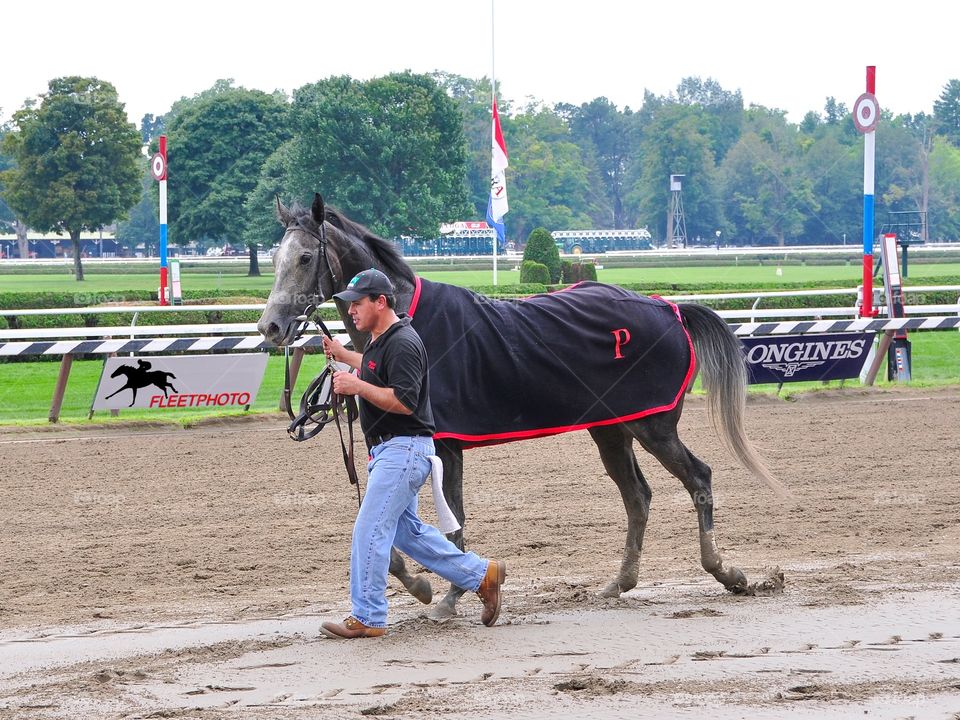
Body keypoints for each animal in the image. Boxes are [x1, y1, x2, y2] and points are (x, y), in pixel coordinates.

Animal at [258, 193, 784, 620]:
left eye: (305, 256)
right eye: (274, 257)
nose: (271, 327)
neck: (407, 319)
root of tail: (668, 308)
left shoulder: (444, 445)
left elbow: (452, 522)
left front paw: (448, 597)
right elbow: (389, 527)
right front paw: (421, 583)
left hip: (654, 425)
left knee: (698, 478)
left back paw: (726, 572)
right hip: (611, 428)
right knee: (638, 496)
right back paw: (620, 581)